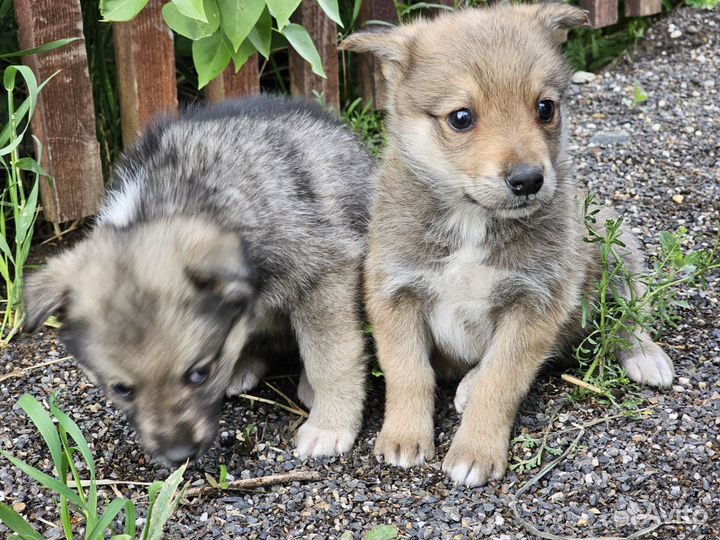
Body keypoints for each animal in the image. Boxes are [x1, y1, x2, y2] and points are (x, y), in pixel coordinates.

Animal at [25, 96, 374, 464]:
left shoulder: (326, 271)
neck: (173, 204)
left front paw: (329, 426)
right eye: (121, 389)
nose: (178, 456)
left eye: (199, 373)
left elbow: (331, 359)